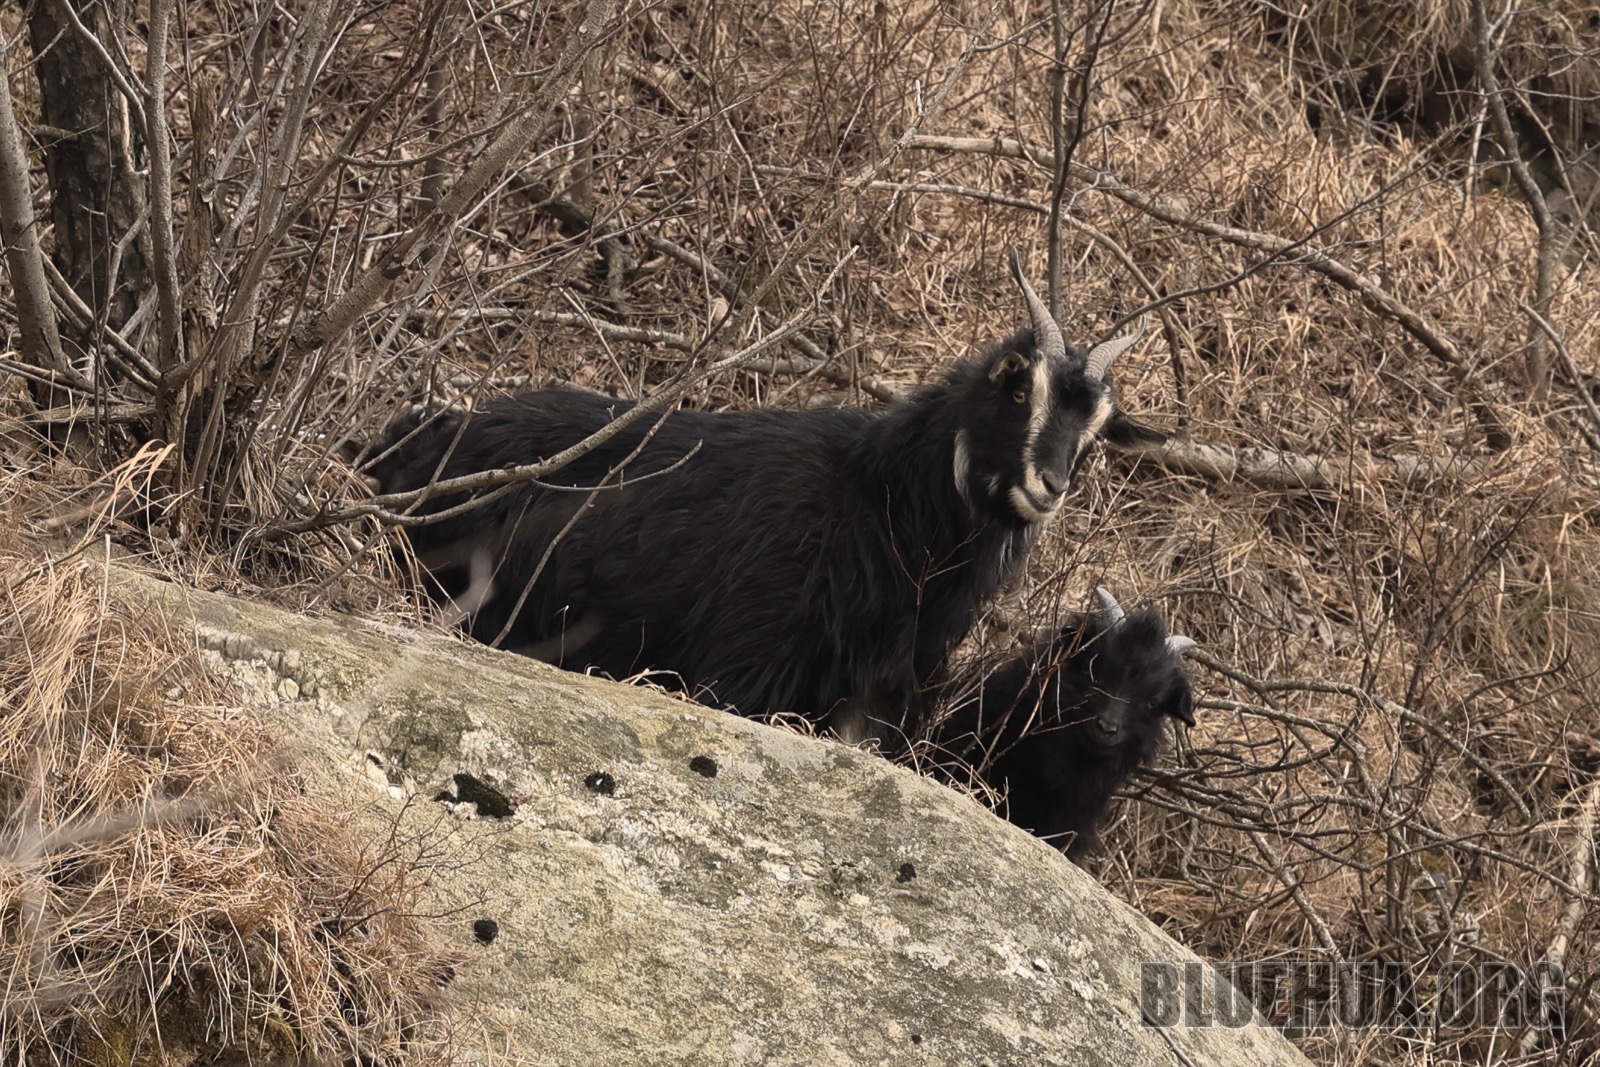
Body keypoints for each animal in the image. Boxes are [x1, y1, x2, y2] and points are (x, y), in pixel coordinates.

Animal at [364, 255, 1164, 742]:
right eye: (1019, 389)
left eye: (1096, 430)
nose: (1050, 486)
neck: (882, 504)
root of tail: (401, 445)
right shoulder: (745, 666)